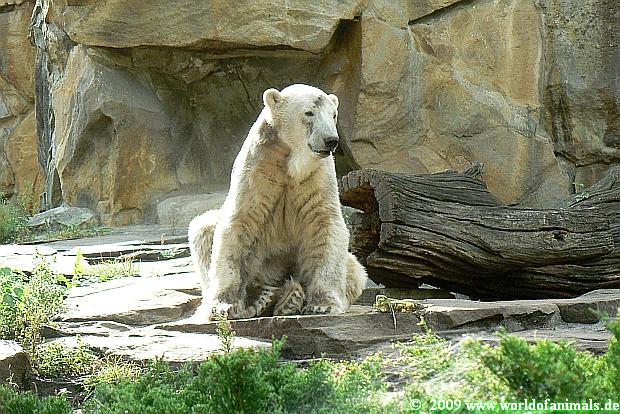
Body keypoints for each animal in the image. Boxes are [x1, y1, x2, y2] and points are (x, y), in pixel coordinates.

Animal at [188, 84, 367, 321]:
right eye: (309, 113)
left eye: (333, 114)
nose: (331, 140)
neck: (291, 163)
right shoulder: (258, 168)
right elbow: (238, 225)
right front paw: (224, 306)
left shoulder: (317, 177)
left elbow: (326, 226)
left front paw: (322, 304)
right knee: (204, 228)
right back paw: (263, 298)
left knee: (356, 270)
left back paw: (289, 299)